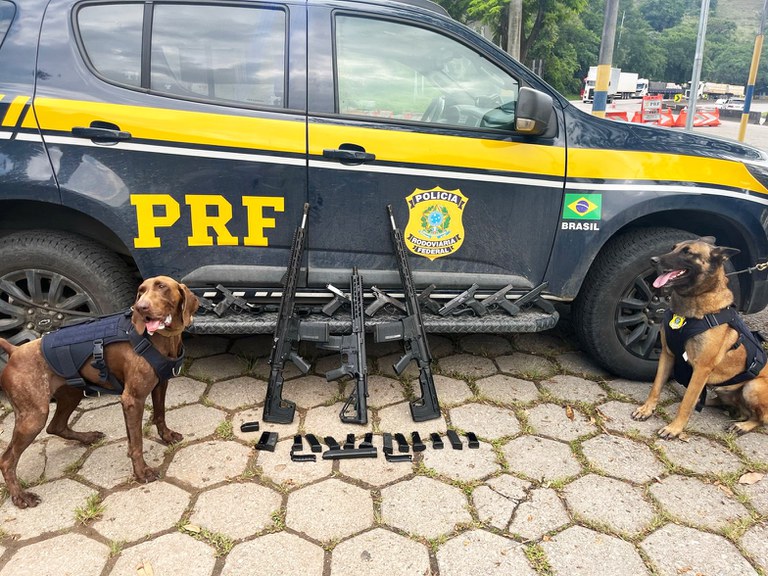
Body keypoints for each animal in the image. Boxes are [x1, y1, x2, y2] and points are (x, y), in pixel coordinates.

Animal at [0, 276, 198, 508]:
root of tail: (14, 351)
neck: (160, 338)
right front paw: (141, 472)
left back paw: (87, 437)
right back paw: (20, 496)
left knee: (55, 426)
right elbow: (136, 442)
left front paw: (166, 436)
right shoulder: (132, 399)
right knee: (7, 460)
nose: (141, 308)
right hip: (33, 416)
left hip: (71, 394)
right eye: (141, 291)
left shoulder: (160, 385)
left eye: (162, 287)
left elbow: (160, 415)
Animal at [632, 236, 768, 438]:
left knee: (761, 418)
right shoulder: (667, 355)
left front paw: (674, 428)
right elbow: (656, 386)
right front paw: (646, 409)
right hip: (723, 388)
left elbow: (685, 404)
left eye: (687, 252)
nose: (653, 260)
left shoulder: (701, 369)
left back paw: (743, 425)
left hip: (752, 387)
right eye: (673, 248)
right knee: (720, 402)